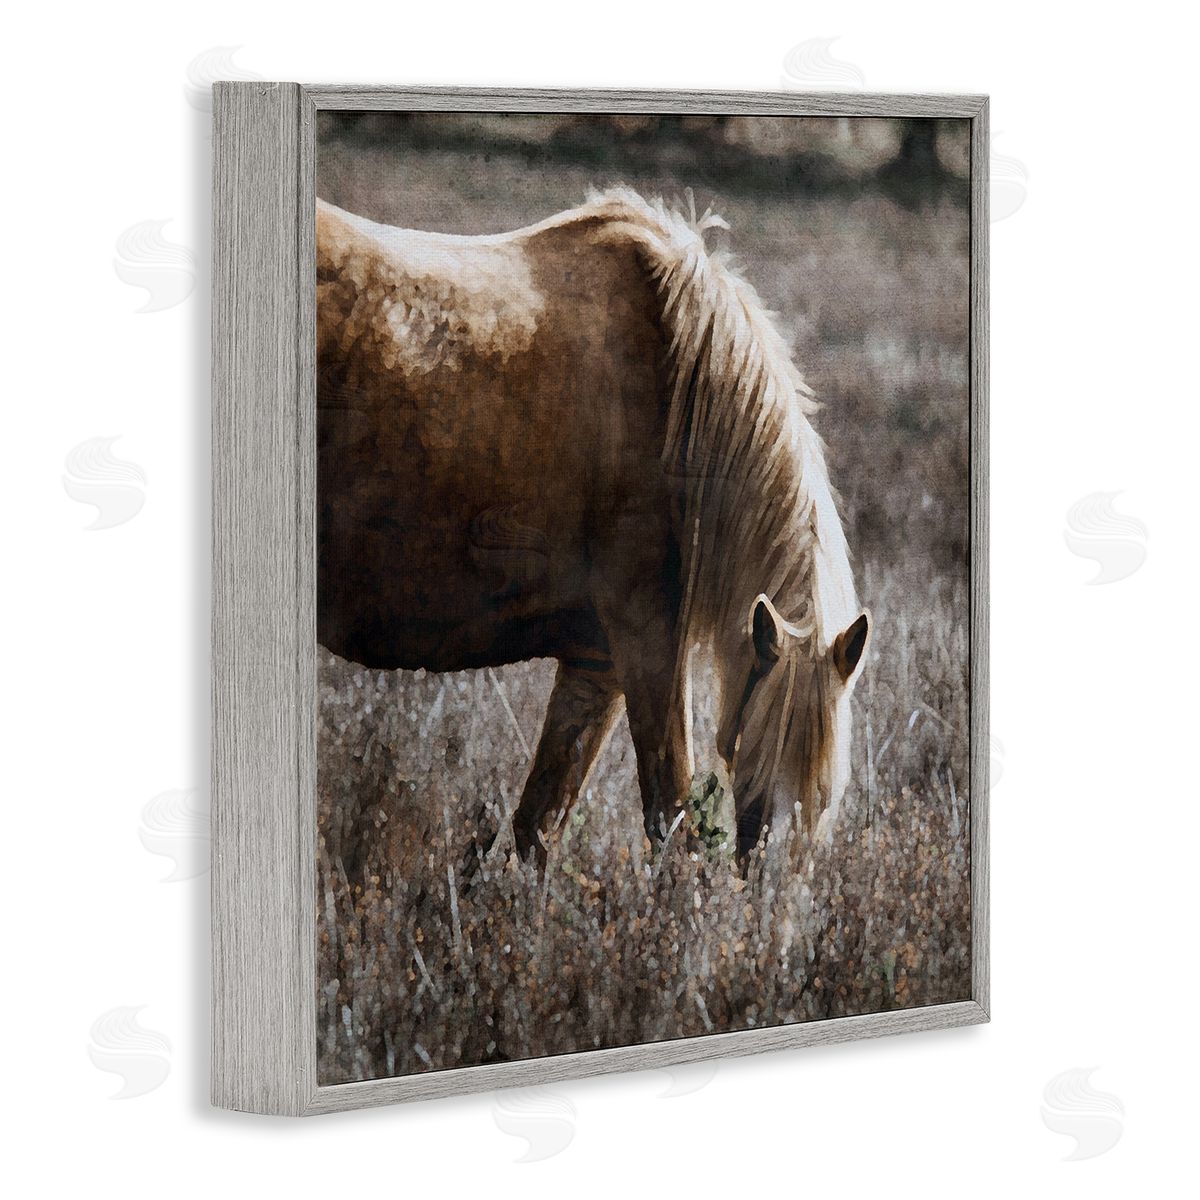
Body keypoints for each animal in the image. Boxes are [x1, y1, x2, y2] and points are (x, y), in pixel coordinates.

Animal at [316, 185, 870, 867]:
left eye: (825, 799)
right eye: (765, 775)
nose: (779, 893)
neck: (678, 389)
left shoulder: (595, 665)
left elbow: (539, 826)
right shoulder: (647, 646)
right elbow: (671, 817)